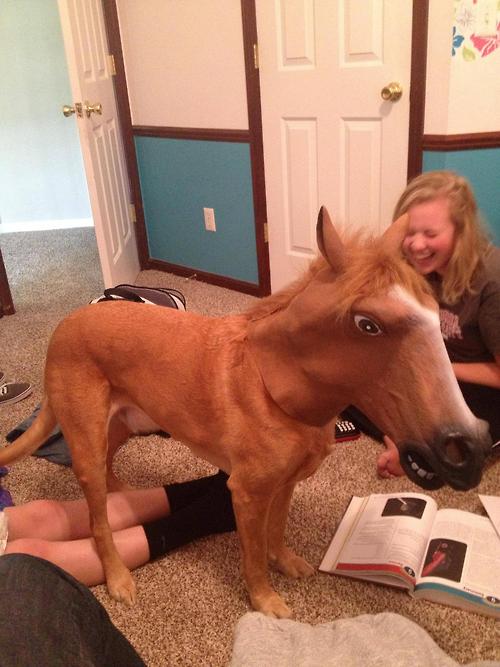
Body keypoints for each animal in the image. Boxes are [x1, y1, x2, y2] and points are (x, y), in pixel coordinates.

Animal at [0, 208, 491, 619]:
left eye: (435, 312)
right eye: (367, 324)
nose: (472, 447)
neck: (276, 390)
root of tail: (66, 324)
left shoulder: (285, 483)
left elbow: (275, 533)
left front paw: (285, 562)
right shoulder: (249, 493)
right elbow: (253, 555)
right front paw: (264, 601)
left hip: (122, 423)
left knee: (107, 474)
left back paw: (124, 495)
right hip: (86, 434)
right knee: (97, 517)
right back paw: (118, 578)